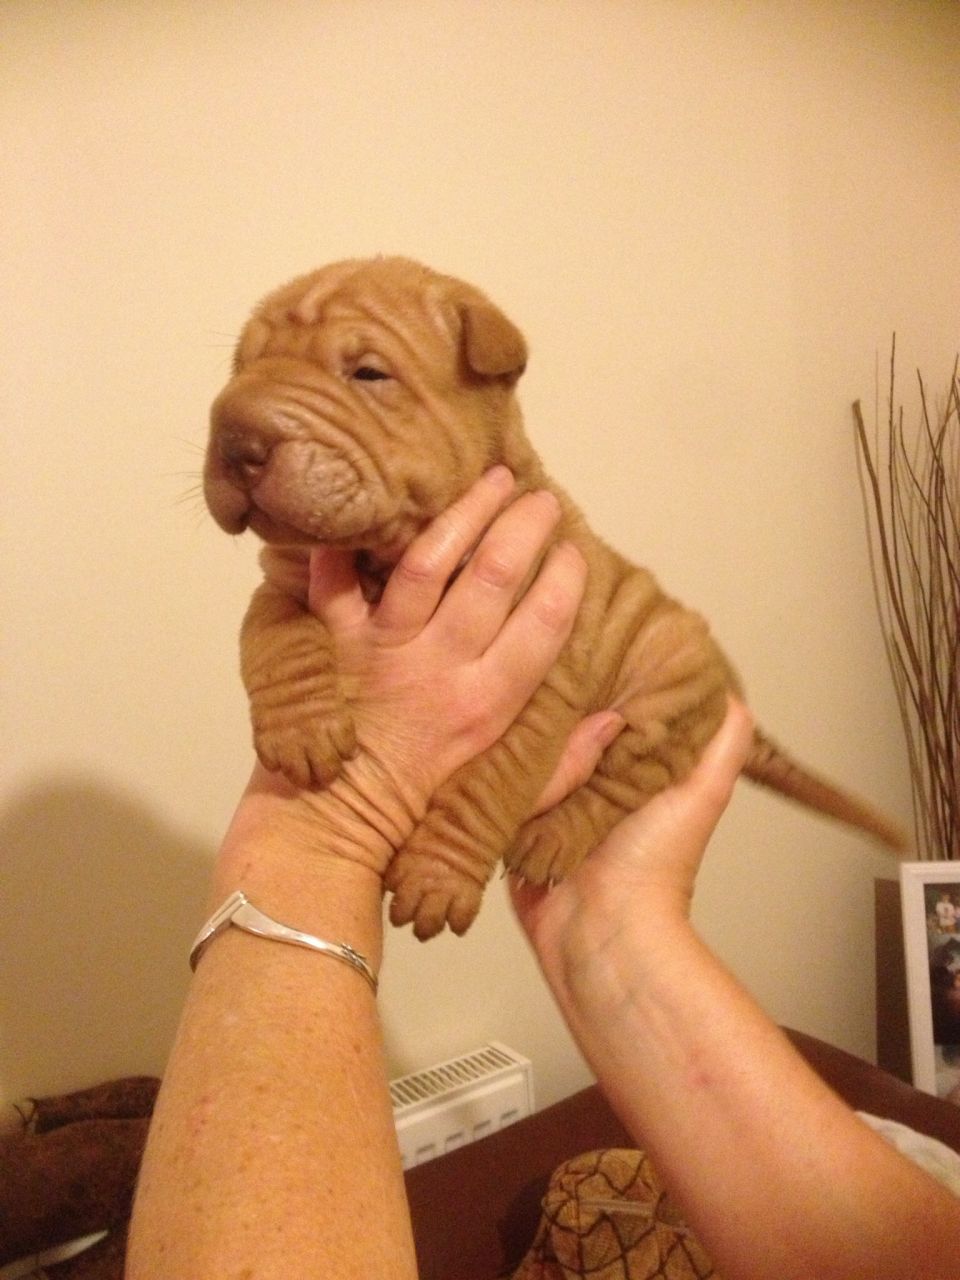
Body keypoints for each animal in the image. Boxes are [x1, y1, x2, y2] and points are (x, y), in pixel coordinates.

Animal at [203, 257, 911, 942]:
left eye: (368, 373)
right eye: (242, 370)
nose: (235, 436)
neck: (385, 556)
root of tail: (727, 688)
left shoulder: (544, 682)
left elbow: (488, 782)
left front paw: (438, 879)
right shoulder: (285, 579)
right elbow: (275, 636)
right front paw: (302, 732)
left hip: (665, 688)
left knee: (622, 784)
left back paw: (551, 837)